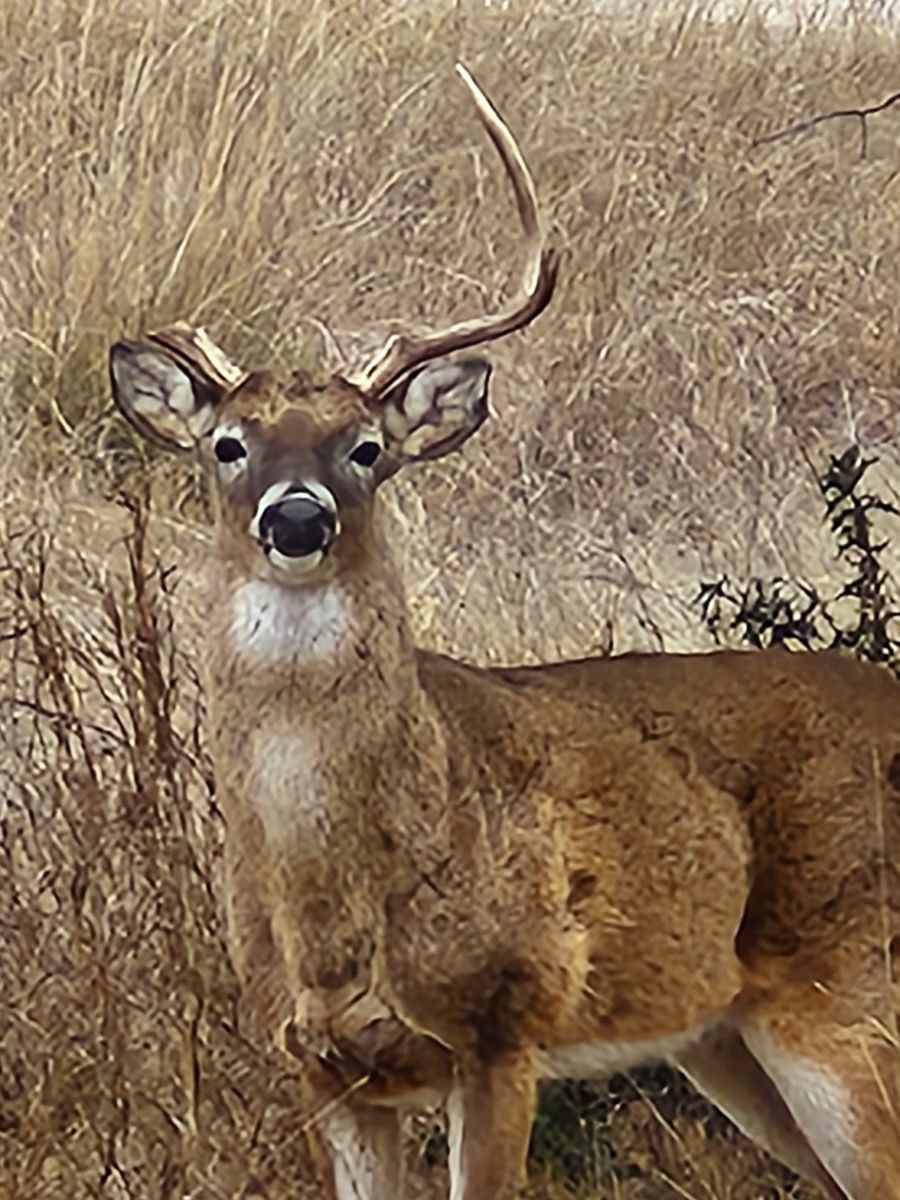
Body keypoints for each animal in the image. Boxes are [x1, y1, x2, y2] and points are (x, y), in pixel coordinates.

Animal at [107, 63, 900, 1200]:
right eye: (228, 444)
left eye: (367, 448)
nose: (296, 517)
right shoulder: (322, 1070)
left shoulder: (500, 1028)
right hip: (723, 1037)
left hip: (845, 988)